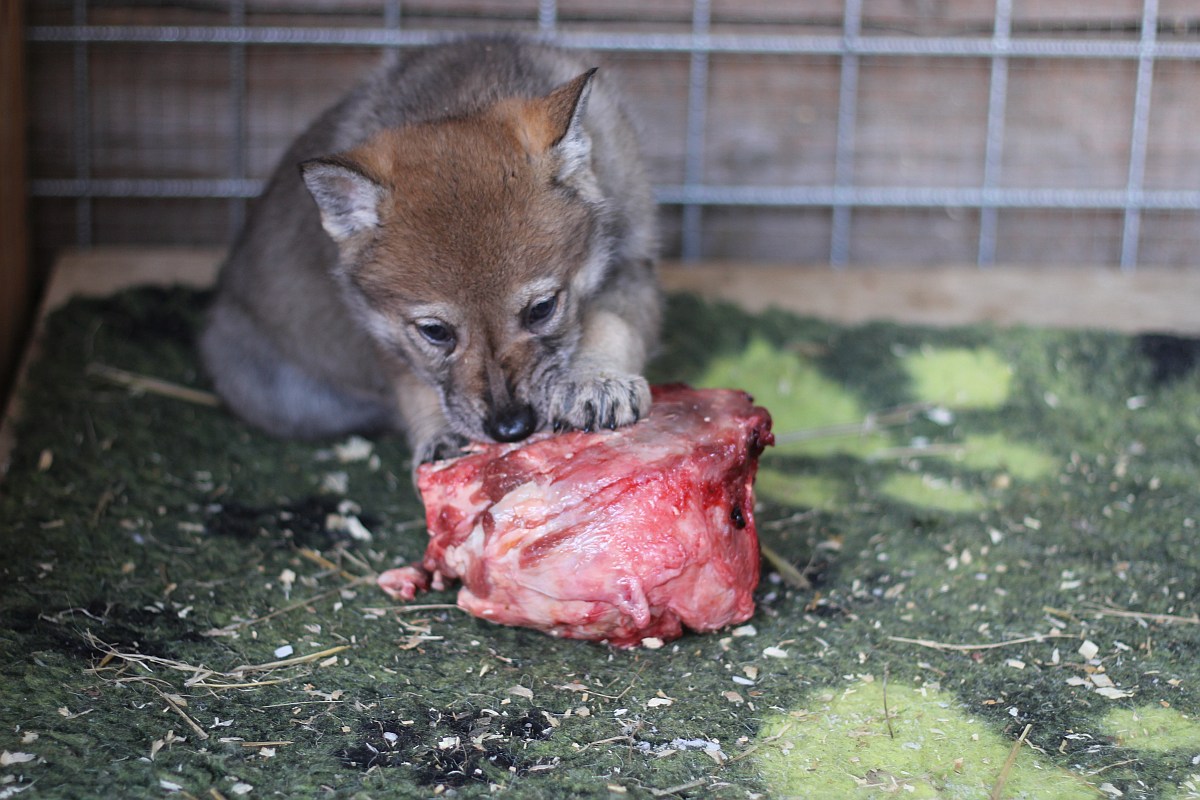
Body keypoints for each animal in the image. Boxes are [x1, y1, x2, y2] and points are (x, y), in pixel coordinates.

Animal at [201, 38, 662, 462]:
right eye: (435, 332)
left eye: (542, 309)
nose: (512, 428)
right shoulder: (381, 332)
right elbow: (414, 384)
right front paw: (440, 433)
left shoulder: (631, 263)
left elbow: (610, 323)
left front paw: (597, 381)